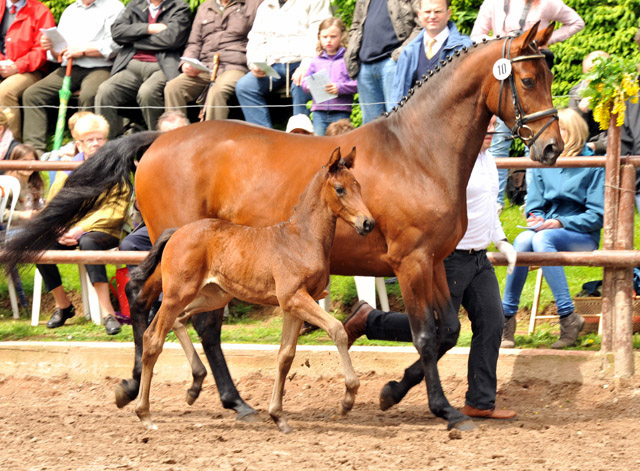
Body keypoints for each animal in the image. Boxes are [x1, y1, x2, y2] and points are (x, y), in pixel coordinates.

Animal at [132, 149, 372, 434]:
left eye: (358, 185)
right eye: (340, 189)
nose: (368, 223)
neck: (303, 239)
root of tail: (176, 231)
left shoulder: (294, 306)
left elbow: (285, 356)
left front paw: (278, 416)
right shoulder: (294, 298)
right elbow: (337, 329)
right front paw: (348, 398)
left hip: (211, 296)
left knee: (177, 322)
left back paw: (194, 386)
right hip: (178, 294)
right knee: (153, 339)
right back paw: (145, 414)